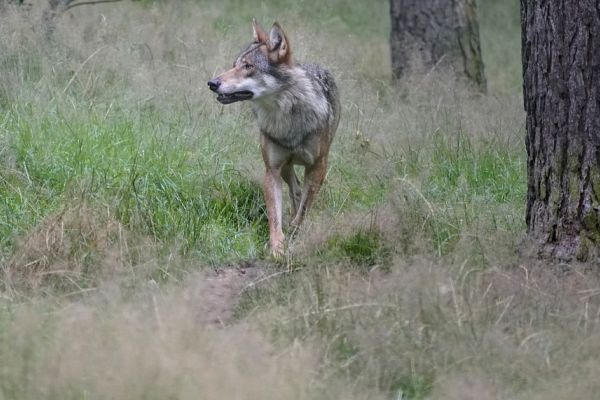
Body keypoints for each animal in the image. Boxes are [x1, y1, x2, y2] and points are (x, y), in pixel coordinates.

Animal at [207, 18, 340, 258]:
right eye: (234, 64)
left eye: (248, 66)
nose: (212, 83)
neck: (286, 117)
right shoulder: (272, 170)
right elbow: (274, 216)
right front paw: (277, 247)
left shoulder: (318, 166)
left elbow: (305, 209)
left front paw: (296, 233)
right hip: (286, 167)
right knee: (296, 189)